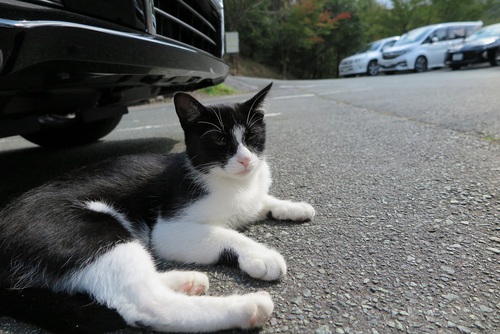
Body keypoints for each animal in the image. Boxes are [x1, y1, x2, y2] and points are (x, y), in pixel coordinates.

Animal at [0, 83, 312, 332]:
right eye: (219, 139)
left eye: (251, 136)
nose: (246, 160)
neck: (235, 184)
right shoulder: (170, 226)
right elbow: (227, 234)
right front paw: (262, 255)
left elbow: (263, 201)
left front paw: (295, 207)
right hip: (89, 232)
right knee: (145, 303)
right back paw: (246, 307)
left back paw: (185, 280)